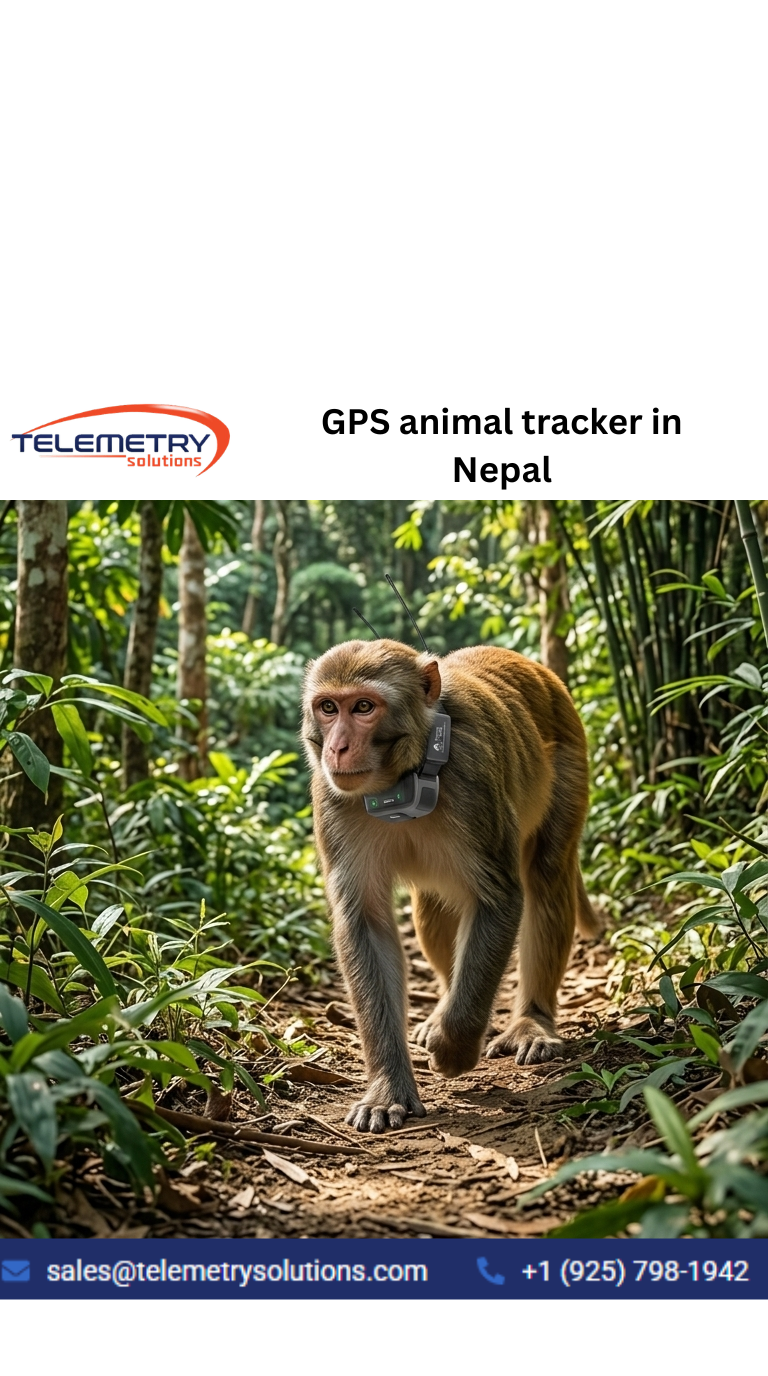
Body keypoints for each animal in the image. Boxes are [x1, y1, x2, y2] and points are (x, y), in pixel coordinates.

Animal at [302, 638, 600, 1133]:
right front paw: (388, 1087)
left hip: (570, 761)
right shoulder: (331, 798)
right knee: (434, 907)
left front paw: (455, 1047)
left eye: (363, 707)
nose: (338, 748)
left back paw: (531, 1022)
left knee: (545, 875)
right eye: (328, 708)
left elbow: (499, 899)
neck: (403, 777)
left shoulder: (472, 780)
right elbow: (366, 923)